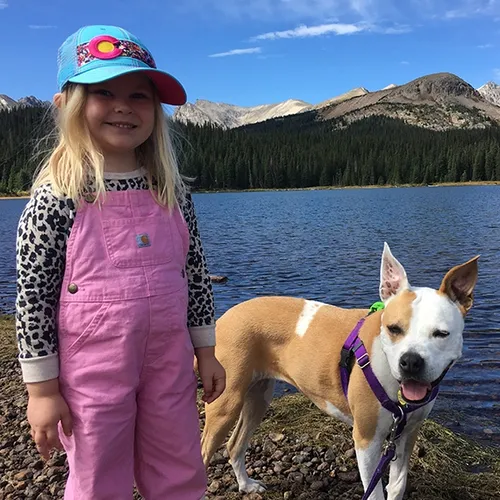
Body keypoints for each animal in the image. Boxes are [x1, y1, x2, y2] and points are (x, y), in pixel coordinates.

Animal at [201, 244, 478, 500]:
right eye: (394, 328)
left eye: (441, 334)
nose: (410, 361)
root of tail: (226, 317)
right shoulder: (366, 440)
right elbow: (374, 493)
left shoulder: (407, 434)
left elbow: (397, 485)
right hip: (226, 403)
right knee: (205, 452)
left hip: (258, 397)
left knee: (235, 444)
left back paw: (246, 485)